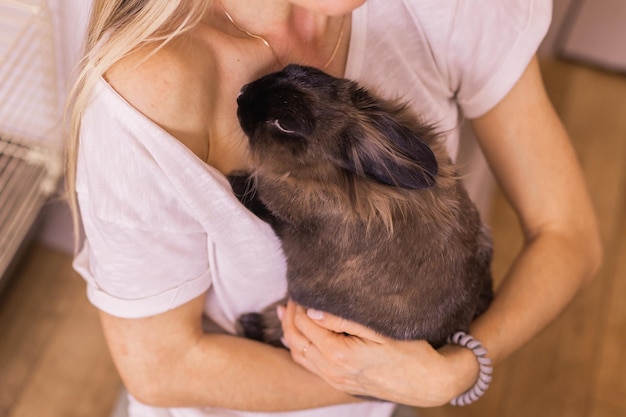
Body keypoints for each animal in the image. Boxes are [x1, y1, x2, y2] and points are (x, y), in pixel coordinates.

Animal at [230, 62, 492, 348]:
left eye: (284, 124)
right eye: (292, 68)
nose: (241, 94)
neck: (326, 172)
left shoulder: (289, 220)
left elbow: (266, 208)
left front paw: (235, 182)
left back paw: (250, 324)